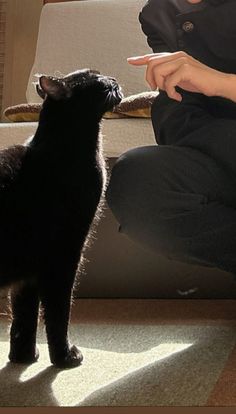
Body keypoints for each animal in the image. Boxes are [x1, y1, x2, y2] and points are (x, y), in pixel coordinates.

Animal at [0, 68, 121, 368]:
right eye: (97, 77)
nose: (114, 79)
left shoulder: (28, 272)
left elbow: (24, 315)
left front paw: (23, 357)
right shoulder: (65, 254)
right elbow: (58, 312)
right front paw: (64, 357)